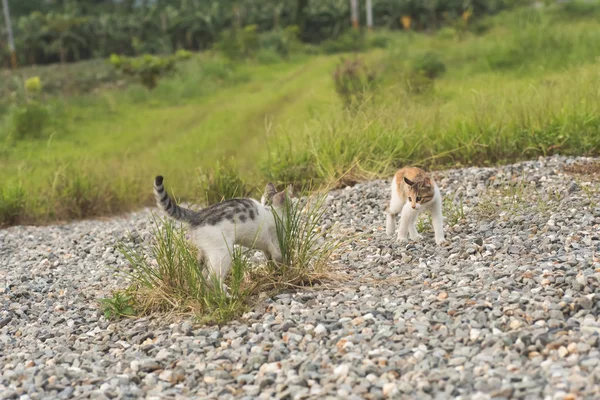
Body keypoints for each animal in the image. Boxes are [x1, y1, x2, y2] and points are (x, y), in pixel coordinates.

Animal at [152, 175, 288, 284]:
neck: (270, 210)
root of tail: (199, 214)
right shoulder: (275, 241)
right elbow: (278, 257)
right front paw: (283, 270)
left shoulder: (266, 247)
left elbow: (269, 257)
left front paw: (274, 270)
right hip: (222, 252)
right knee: (213, 280)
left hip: (205, 252)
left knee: (201, 275)